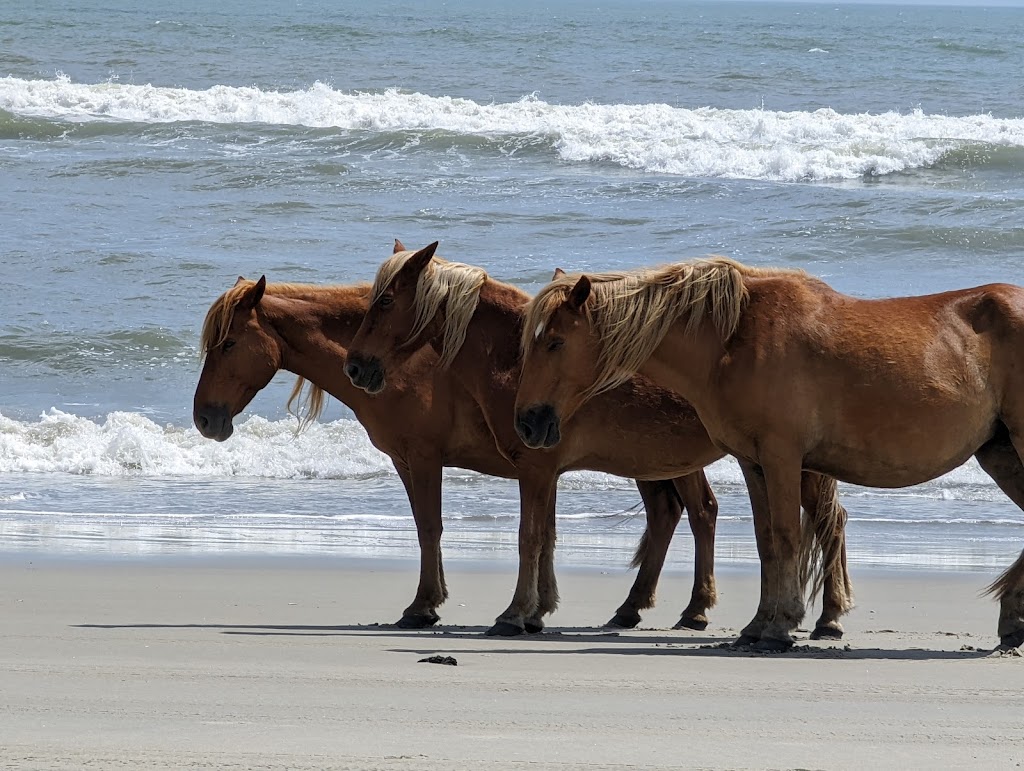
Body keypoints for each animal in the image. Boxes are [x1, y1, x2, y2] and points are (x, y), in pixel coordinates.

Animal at [192, 274, 729, 634]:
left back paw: (693, 610)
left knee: (699, 513)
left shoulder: (424, 457)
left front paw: (425, 606)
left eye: (229, 343)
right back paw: (634, 608)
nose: (204, 419)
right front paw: (536, 609)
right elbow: (540, 536)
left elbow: (431, 528)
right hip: (656, 463)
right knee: (669, 515)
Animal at [344, 241, 856, 638]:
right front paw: (537, 612)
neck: (516, 360)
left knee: (828, 524)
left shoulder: (535, 468)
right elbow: (547, 537)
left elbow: (529, 538)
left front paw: (514, 615)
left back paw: (828, 619)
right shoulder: (544, 469)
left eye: (384, 301)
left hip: (793, 466)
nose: (355, 366)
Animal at [520, 253, 1024, 651]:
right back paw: (1010, 619)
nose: (528, 422)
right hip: (999, 455)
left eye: (556, 341)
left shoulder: (782, 456)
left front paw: (781, 626)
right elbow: (766, 540)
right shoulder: (754, 462)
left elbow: (785, 535)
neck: (733, 339)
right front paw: (759, 624)